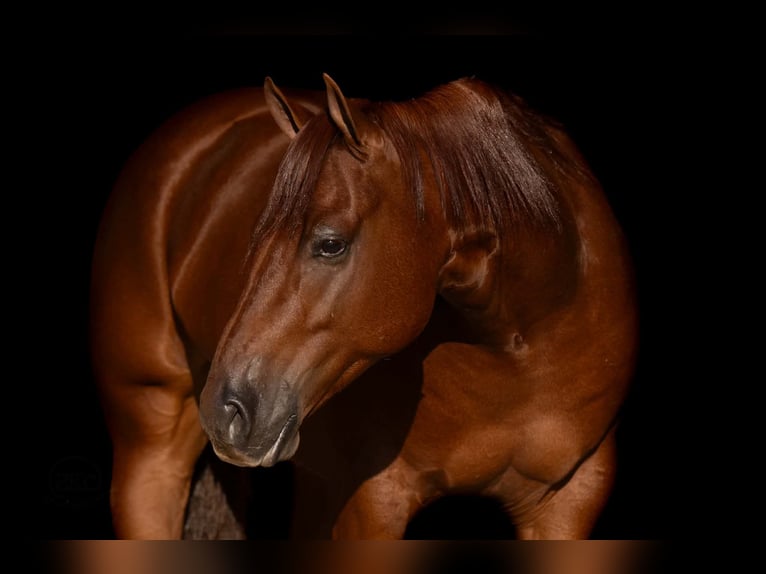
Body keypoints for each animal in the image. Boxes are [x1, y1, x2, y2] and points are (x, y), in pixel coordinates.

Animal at [89, 73, 638, 539]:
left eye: (331, 243)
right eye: (256, 235)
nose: (225, 410)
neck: (521, 346)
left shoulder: (568, 503)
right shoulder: (374, 504)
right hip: (150, 451)